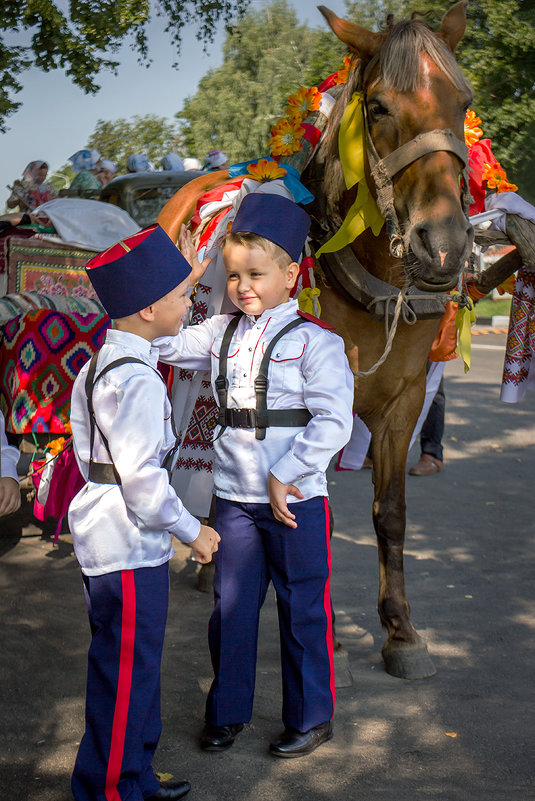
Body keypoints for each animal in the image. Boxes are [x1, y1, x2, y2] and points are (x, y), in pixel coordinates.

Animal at [159, 0, 478, 680]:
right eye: (378, 106)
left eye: (463, 102)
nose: (443, 246)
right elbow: (308, 510)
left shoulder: (403, 403)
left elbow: (391, 514)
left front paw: (400, 630)